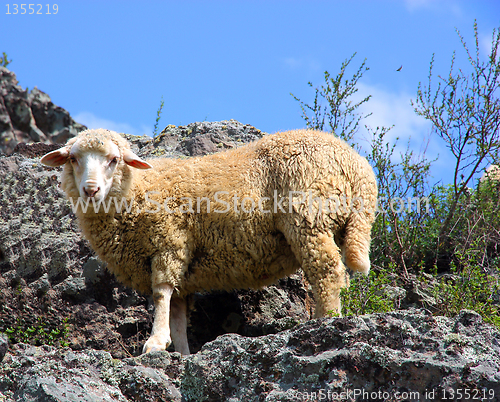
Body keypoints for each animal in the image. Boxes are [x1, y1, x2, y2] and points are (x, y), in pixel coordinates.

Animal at [41, 128, 376, 354]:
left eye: (114, 160)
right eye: (73, 159)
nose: (90, 190)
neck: (137, 191)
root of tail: (358, 166)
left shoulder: (170, 242)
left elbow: (161, 294)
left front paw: (155, 342)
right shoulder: (181, 267)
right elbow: (178, 312)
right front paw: (181, 352)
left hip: (309, 215)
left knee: (328, 272)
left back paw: (324, 322)